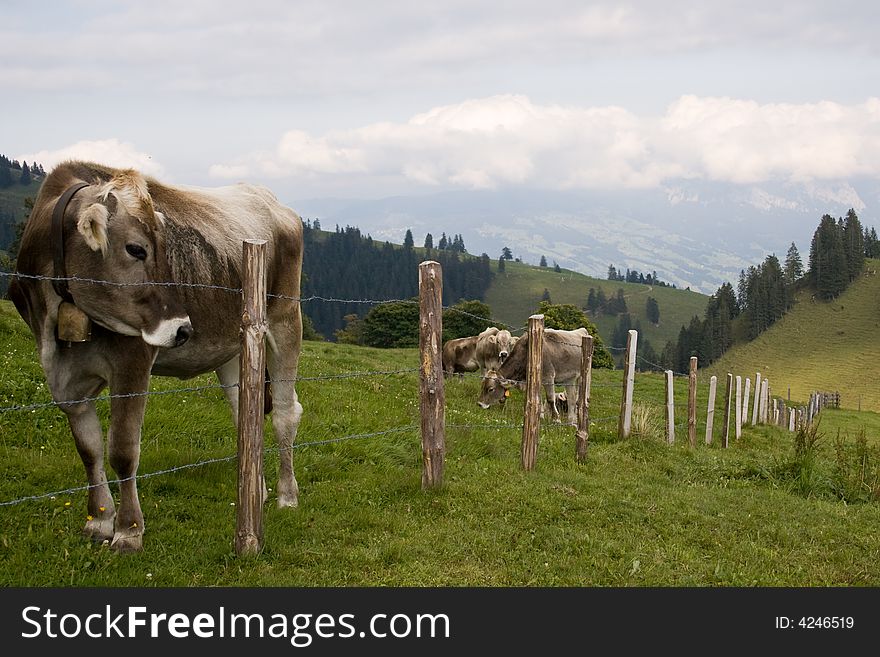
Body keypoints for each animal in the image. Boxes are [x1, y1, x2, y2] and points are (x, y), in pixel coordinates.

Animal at [7, 161, 306, 552]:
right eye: (136, 249)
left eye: (168, 249)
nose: (182, 329)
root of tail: (267, 197)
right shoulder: (64, 381)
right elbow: (89, 450)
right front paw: (98, 520)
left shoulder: (132, 362)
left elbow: (122, 450)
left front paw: (128, 531)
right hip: (234, 346)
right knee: (246, 413)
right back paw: (258, 491)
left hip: (286, 319)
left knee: (285, 413)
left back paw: (287, 495)